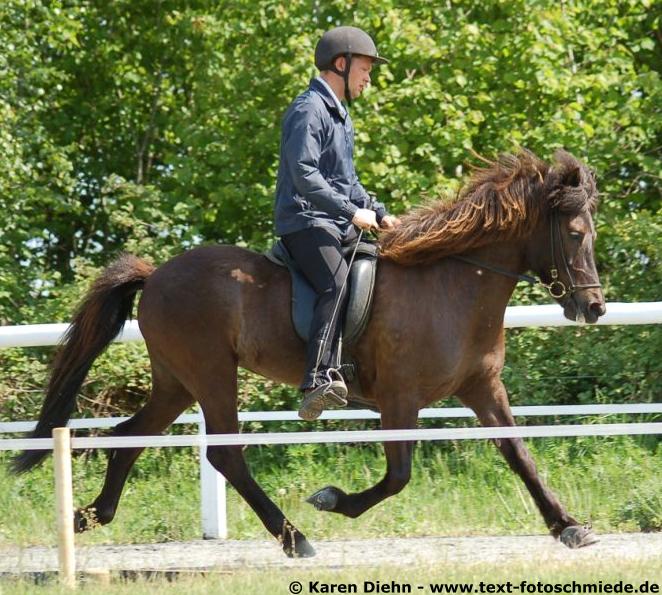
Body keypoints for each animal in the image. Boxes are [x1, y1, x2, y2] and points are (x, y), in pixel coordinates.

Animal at [14, 149, 608, 560]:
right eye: (576, 233)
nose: (594, 308)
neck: (454, 283)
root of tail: (156, 274)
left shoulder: (482, 388)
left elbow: (519, 454)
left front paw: (568, 526)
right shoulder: (400, 398)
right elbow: (399, 475)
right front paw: (332, 499)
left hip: (177, 381)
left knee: (130, 436)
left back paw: (88, 517)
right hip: (211, 375)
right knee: (225, 455)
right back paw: (294, 538)